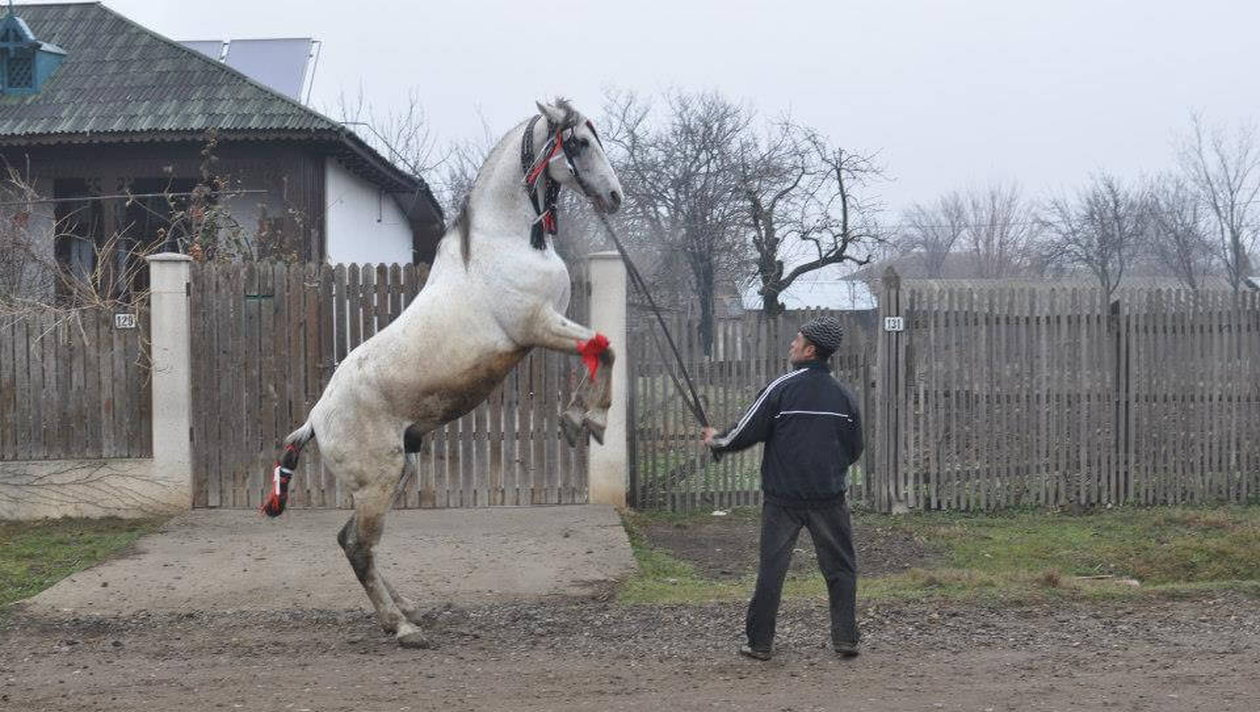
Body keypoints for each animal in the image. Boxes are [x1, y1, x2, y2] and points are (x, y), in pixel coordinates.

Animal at [261, 99, 623, 648]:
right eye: (578, 143)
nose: (615, 197)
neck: (506, 241)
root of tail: (315, 421)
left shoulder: (550, 325)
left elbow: (600, 348)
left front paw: (579, 420)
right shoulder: (536, 326)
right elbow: (604, 349)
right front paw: (589, 421)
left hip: (397, 474)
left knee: (351, 540)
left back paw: (406, 608)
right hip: (377, 482)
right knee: (359, 547)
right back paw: (403, 627)